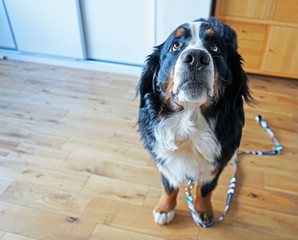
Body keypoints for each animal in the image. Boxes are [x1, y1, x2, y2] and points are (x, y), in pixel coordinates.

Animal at [137, 17, 251, 226]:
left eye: (214, 47)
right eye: (175, 45)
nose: (196, 57)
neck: (190, 121)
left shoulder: (219, 160)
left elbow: (206, 189)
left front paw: (203, 211)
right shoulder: (163, 158)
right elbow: (169, 186)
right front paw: (165, 209)